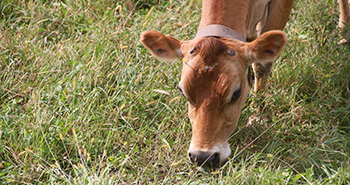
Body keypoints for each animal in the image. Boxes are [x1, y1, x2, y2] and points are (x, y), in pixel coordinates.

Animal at [140, 0, 350, 168]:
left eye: (235, 94)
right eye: (183, 91)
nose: (203, 157)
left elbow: (262, 63)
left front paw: (259, 115)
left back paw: (344, 29)